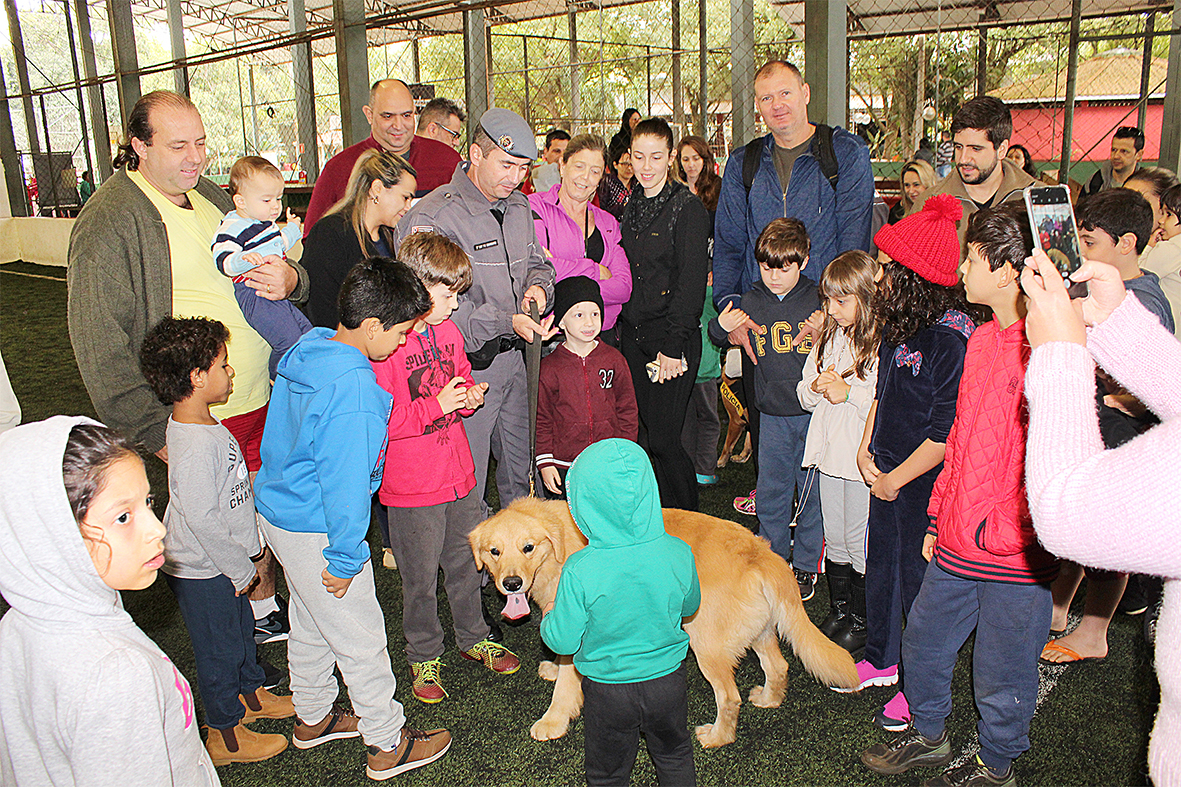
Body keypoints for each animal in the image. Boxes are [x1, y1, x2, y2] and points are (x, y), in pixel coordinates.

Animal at [467, 493, 859, 746]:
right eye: (494, 551)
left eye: (528, 547)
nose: (511, 583)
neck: (560, 545)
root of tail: (761, 553)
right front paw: (551, 667)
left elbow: (566, 684)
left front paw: (553, 721)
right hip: (758, 633)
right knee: (778, 667)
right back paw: (768, 699)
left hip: (707, 644)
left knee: (729, 697)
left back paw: (717, 737)